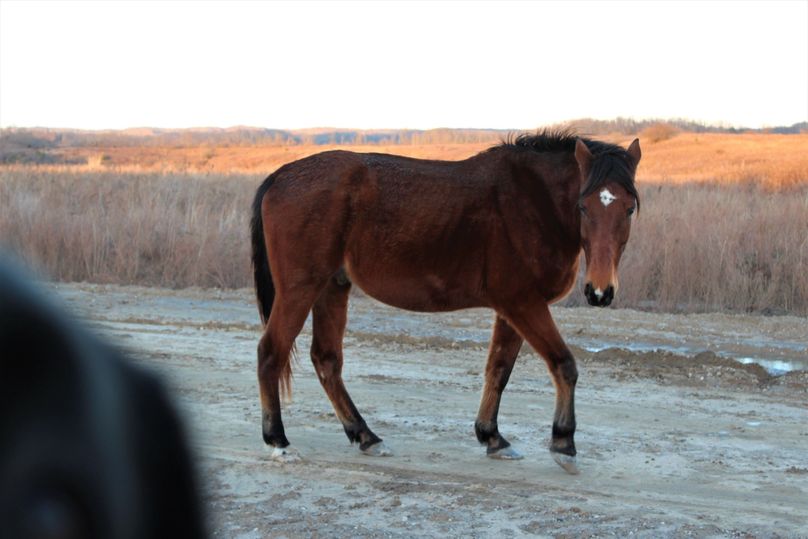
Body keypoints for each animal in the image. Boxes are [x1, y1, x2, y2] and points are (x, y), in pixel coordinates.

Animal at [250, 131, 641, 474]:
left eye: (629, 208)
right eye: (583, 206)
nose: (600, 292)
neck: (532, 200)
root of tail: (280, 175)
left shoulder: (513, 308)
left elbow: (498, 369)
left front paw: (492, 437)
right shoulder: (523, 304)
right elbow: (564, 365)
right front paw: (564, 444)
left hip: (333, 287)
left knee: (326, 360)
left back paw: (366, 436)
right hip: (300, 288)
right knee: (271, 353)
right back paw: (278, 441)